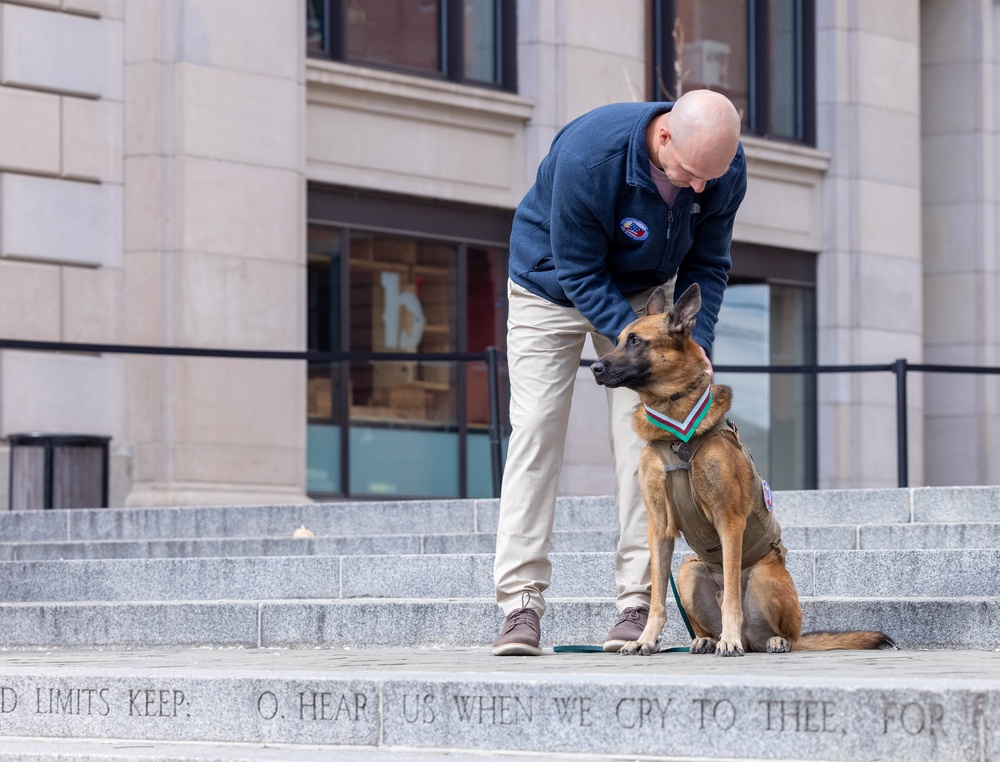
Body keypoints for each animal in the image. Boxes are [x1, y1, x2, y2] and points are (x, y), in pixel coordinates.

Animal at [588, 284, 896, 652]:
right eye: (619, 339)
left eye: (635, 341)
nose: (594, 368)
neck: (675, 426)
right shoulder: (659, 527)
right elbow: (659, 597)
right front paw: (646, 639)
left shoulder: (729, 520)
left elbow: (732, 596)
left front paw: (729, 640)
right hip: (689, 571)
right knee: (710, 620)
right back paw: (706, 640)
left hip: (764, 577)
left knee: (777, 632)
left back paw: (764, 639)